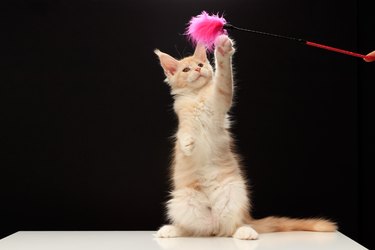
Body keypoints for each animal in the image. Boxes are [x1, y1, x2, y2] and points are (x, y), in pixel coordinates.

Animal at [153, 34, 338, 239]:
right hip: (182, 201)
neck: (198, 96)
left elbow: (224, 77)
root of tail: (213, 220)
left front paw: (223, 49)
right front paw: (187, 144)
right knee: (196, 230)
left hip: (235, 193)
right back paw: (171, 230)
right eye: (186, 69)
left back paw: (245, 232)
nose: (198, 69)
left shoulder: (221, 98)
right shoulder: (183, 116)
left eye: (201, 64)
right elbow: (184, 132)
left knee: (231, 227)